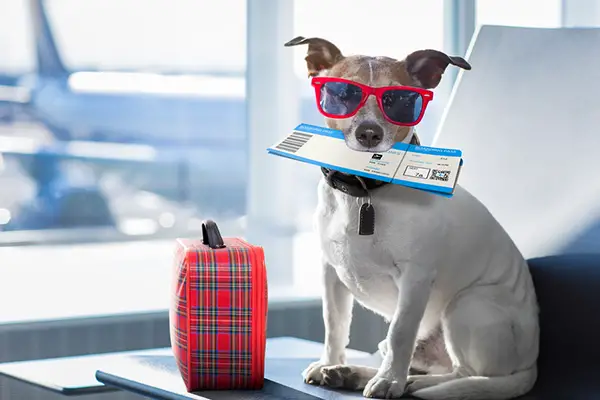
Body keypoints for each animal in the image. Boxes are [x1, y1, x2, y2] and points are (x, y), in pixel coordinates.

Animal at [284, 36, 540, 398]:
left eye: (401, 100)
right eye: (343, 93)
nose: (369, 133)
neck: (364, 192)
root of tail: (531, 364)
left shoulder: (415, 278)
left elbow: (401, 332)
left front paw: (390, 381)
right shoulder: (330, 274)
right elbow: (334, 325)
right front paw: (329, 362)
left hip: (467, 305)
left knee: (464, 374)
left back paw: (409, 383)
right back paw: (351, 373)